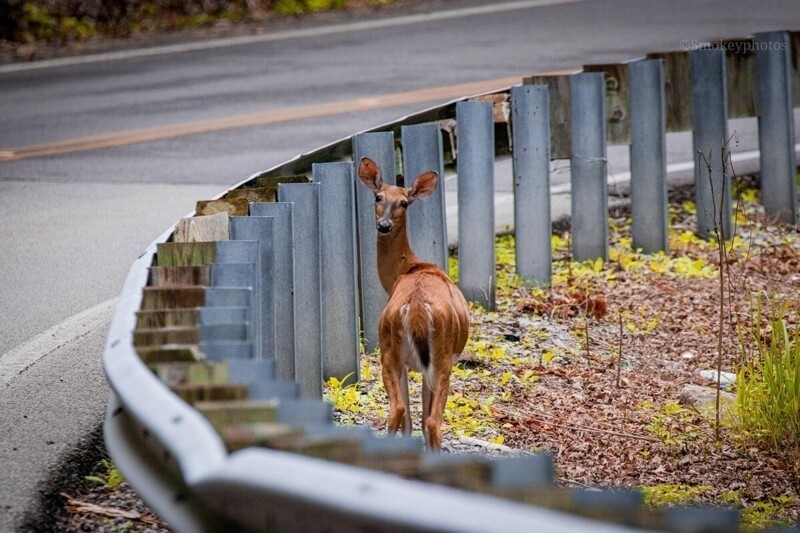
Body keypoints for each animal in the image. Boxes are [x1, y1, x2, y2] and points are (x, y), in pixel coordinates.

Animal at [356, 155, 468, 448]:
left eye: (404, 202)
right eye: (378, 197)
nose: (384, 225)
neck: (409, 268)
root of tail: (416, 307)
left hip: (392, 349)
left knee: (403, 412)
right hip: (437, 356)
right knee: (429, 421)